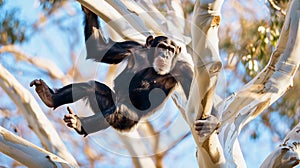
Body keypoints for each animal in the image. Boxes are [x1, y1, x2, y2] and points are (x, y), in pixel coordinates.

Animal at [30, 6, 193, 136]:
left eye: (171, 50)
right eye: (162, 47)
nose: (166, 55)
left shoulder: (182, 69)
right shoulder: (132, 47)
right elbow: (99, 49)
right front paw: (87, 9)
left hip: (128, 121)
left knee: (119, 110)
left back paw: (80, 124)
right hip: (107, 102)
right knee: (92, 87)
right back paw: (49, 97)